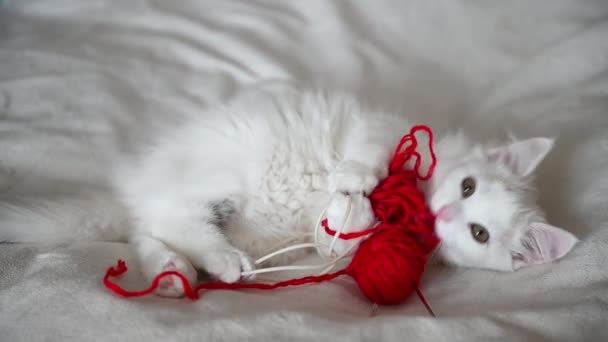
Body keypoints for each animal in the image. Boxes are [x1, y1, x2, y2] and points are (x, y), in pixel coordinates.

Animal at [1, 86, 580, 296]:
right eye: (467, 185)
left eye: (479, 233)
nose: (446, 212)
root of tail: (135, 182)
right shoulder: (384, 129)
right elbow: (367, 157)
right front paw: (354, 185)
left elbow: (345, 241)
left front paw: (352, 219)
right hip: (217, 179)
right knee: (166, 219)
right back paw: (205, 266)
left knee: (156, 230)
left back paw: (176, 274)